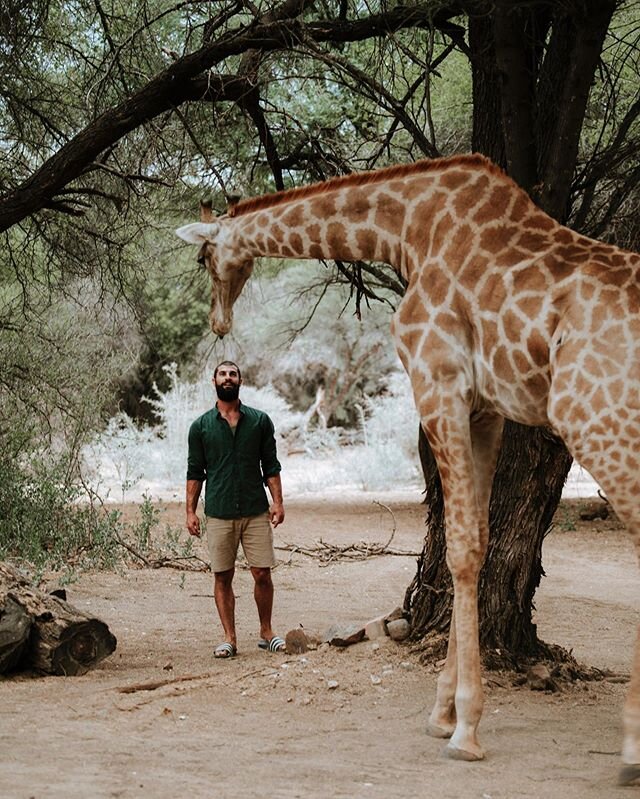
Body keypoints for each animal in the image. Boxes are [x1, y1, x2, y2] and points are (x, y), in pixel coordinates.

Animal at [175, 153, 640, 784]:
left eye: (203, 257)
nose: (219, 323)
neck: (410, 232)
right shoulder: (484, 409)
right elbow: (478, 541)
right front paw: (443, 714)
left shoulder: (438, 381)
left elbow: (462, 548)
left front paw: (465, 729)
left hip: (594, 417)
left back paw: (632, 747)